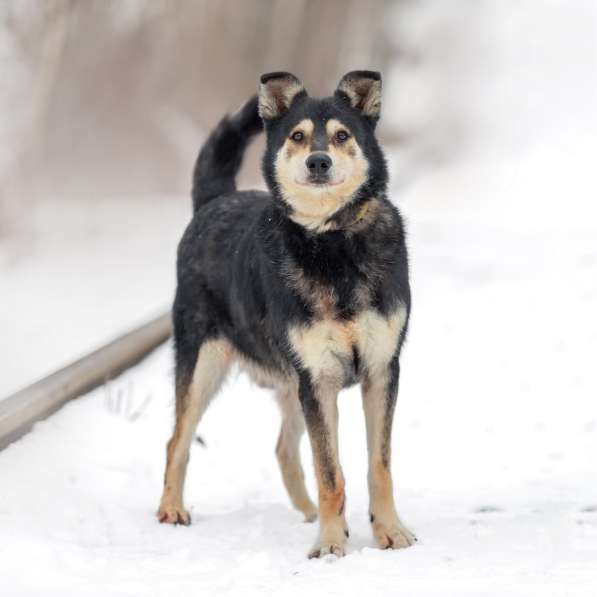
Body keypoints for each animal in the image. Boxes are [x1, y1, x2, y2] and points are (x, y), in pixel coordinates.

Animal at [156, 72, 412, 556]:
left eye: (342, 135)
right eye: (297, 136)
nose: (318, 161)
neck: (331, 242)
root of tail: (213, 201)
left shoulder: (380, 370)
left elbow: (380, 465)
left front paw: (389, 531)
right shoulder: (319, 378)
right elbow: (331, 472)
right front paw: (330, 545)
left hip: (293, 384)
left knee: (283, 449)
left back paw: (308, 512)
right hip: (204, 365)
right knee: (176, 440)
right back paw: (171, 509)